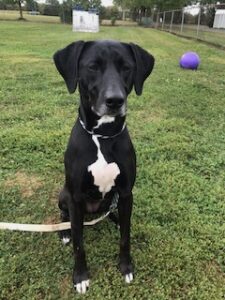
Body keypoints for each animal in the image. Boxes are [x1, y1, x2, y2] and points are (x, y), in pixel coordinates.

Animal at [53, 39, 155, 292]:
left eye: (126, 67)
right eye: (93, 66)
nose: (115, 100)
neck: (102, 135)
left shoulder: (127, 193)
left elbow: (126, 236)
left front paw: (126, 267)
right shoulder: (75, 197)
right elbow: (79, 244)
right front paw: (80, 277)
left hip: (113, 199)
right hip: (64, 195)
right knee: (64, 215)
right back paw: (65, 231)